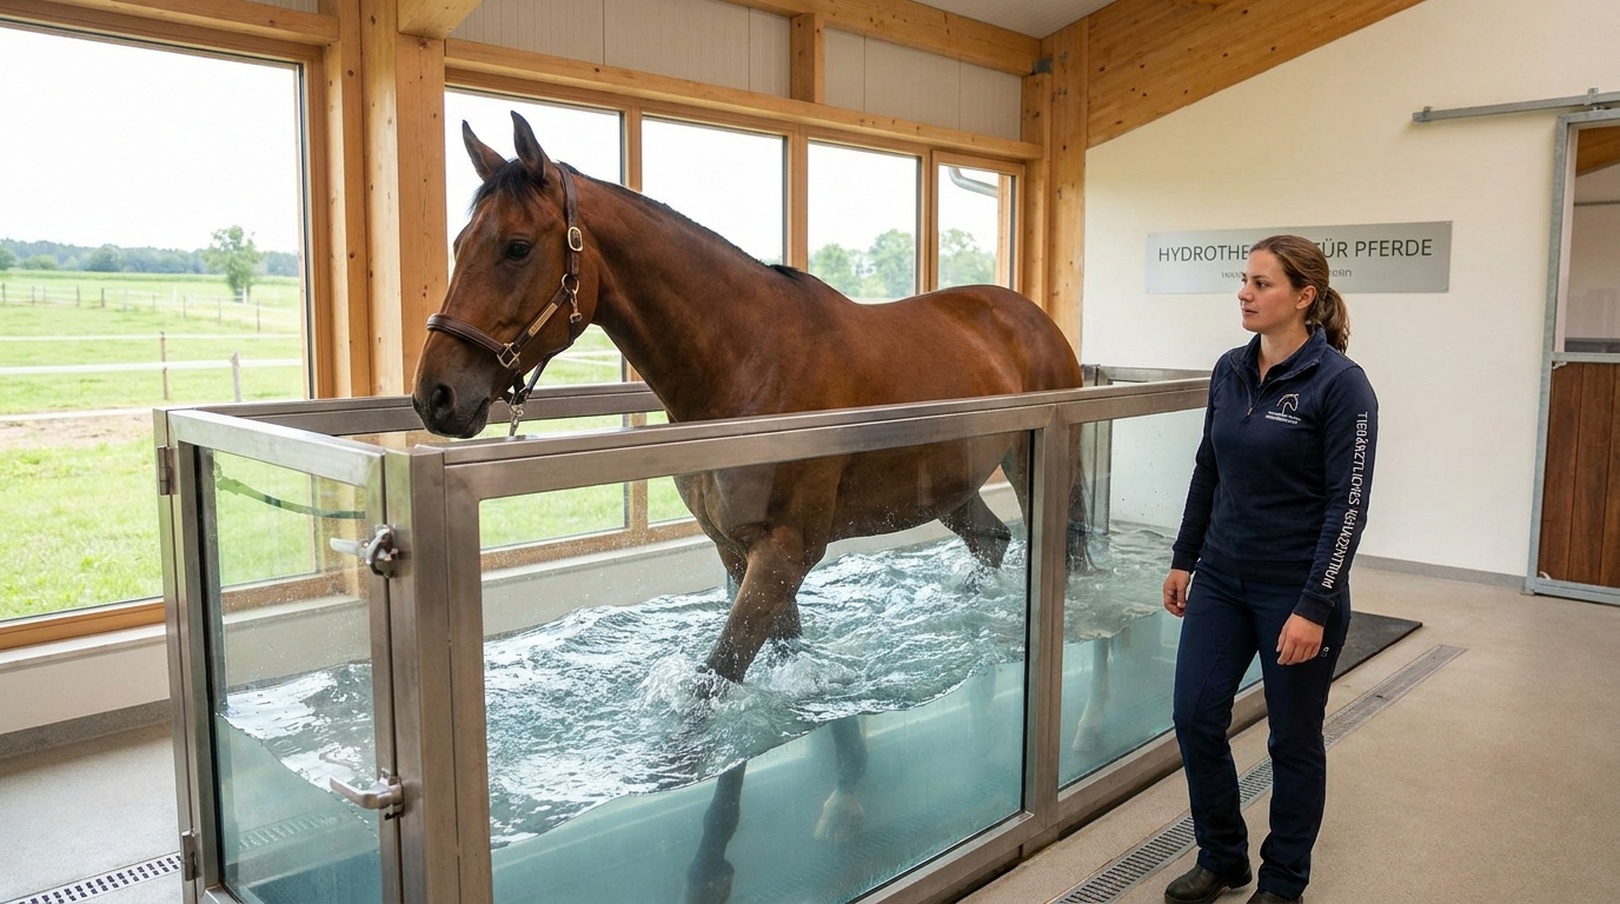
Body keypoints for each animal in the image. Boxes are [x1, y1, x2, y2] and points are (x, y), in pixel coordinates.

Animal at [412, 112, 1089, 902]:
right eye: (460, 244)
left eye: (517, 247)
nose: (435, 395)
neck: (747, 365)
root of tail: (1027, 314)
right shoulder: (740, 551)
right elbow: (788, 657)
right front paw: (843, 778)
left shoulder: (786, 548)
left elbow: (713, 684)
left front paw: (705, 856)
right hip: (948, 489)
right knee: (991, 541)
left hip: (1034, 462)